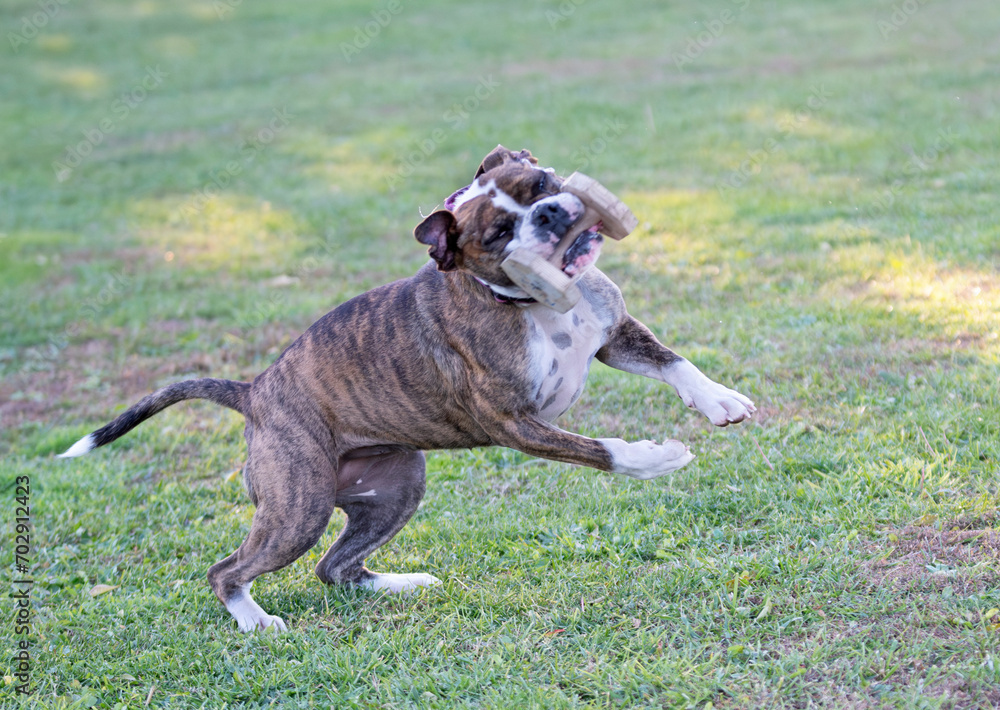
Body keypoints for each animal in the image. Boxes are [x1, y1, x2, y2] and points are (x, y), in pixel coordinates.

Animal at [58, 146, 752, 636]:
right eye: (497, 234)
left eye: (541, 185)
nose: (552, 212)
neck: (537, 304)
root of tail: (254, 391)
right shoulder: (514, 422)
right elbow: (600, 449)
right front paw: (657, 457)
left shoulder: (613, 336)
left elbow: (676, 364)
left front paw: (720, 401)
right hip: (297, 508)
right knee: (228, 570)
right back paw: (255, 620)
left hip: (395, 486)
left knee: (335, 567)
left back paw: (401, 584)